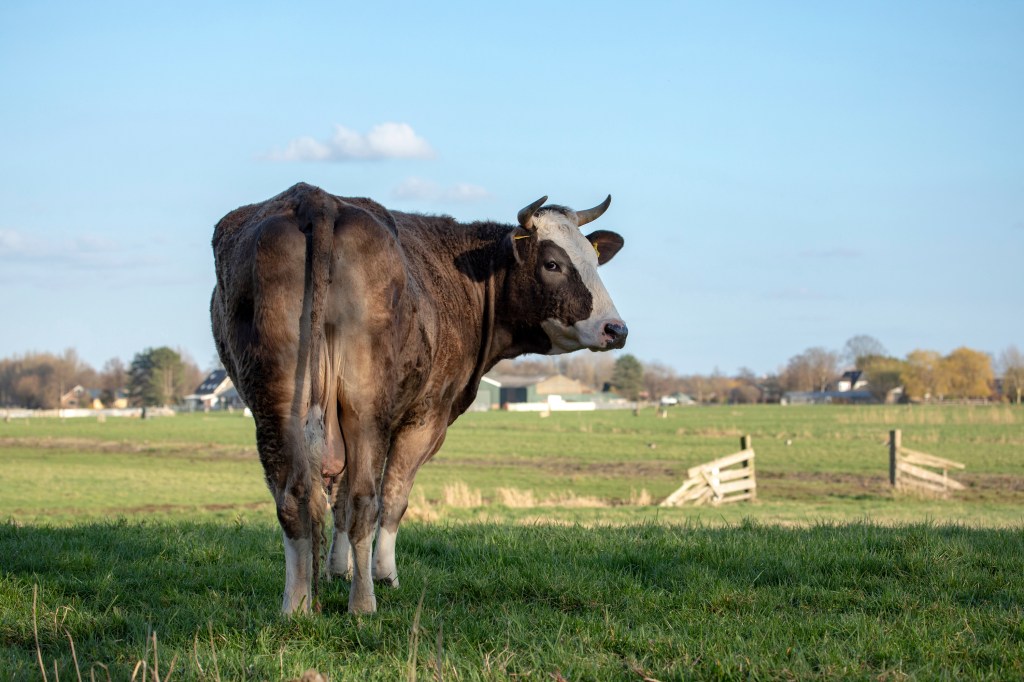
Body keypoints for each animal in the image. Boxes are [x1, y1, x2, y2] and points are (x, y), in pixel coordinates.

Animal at [209, 183, 622, 614]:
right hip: (364, 407)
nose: (616, 329)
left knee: (295, 498)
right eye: (553, 264)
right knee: (366, 501)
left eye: (594, 260)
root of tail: (315, 199)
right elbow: (393, 498)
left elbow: (338, 501)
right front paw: (384, 574)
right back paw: (363, 603)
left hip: (276, 403)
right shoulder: (427, 415)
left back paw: (297, 605)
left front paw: (338, 568)